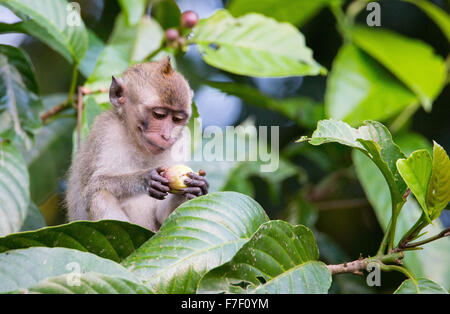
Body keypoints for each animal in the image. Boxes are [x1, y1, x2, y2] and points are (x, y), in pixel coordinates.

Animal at [66, 57, 209, 232]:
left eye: (176, 119)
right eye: (159, 115)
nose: (166, 136)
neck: (137, 142)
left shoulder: (181, 142)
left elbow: (164, 217)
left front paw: (197, 187)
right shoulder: (105, 130)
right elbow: (92, 189)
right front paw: (144, 179)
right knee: (100, 195)